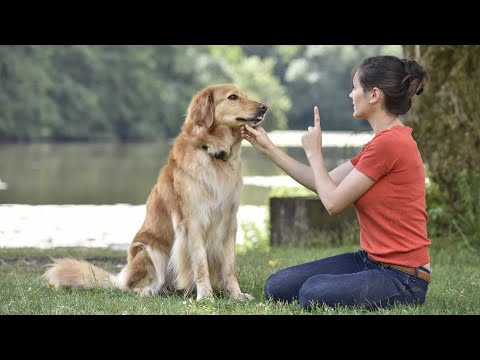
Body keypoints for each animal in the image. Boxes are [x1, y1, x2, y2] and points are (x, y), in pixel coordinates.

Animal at [43, 84, 268, 300]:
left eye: (244, 95)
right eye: (232, 97)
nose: (264, 107)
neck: (212, 153)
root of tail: (120, 278)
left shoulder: (229, 221)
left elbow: (230, 266)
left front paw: (236, 294)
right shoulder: (193, 222)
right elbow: (200, 263)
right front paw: (205, 296)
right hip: (150, 251)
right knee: (134, 286)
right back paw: (148, 291)